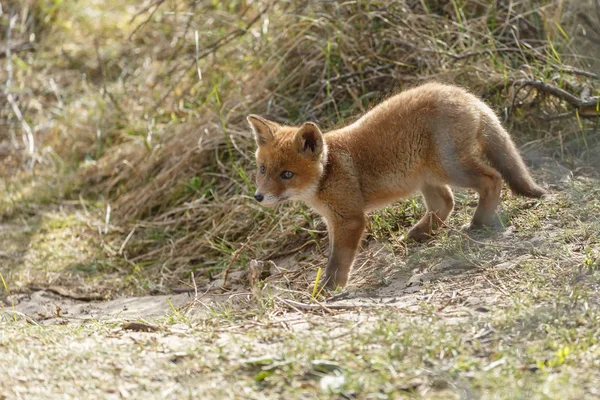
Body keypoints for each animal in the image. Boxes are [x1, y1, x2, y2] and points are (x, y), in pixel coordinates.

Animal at [246, 82, 548, 288]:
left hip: (450, 169)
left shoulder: (350, 219)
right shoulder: (334, 220)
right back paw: (418, 234)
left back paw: (478, 223)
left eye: (287, 174)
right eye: (263, 170)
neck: (329, 169)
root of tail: (465, 95)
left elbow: (338, 261)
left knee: (492, 179)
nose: (258, 197)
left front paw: (327, 289)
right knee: (445, 202)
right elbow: (333, 257)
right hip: (427, 177)